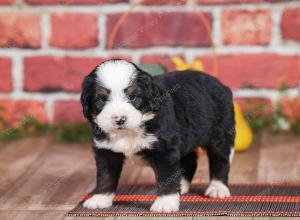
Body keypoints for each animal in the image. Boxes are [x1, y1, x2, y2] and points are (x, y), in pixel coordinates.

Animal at [81, 59, 236, 212]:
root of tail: (221, 85)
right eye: (101, 99)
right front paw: (100, 198)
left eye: (132, 97)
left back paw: (217, 188)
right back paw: (181, 186)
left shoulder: (164, 150)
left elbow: (166, 177)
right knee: (189, 161)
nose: (119, 119)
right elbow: (105, 176)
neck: (129, 132)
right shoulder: (106, 151)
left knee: (220, 160)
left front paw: (165, 203)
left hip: (220, 134)